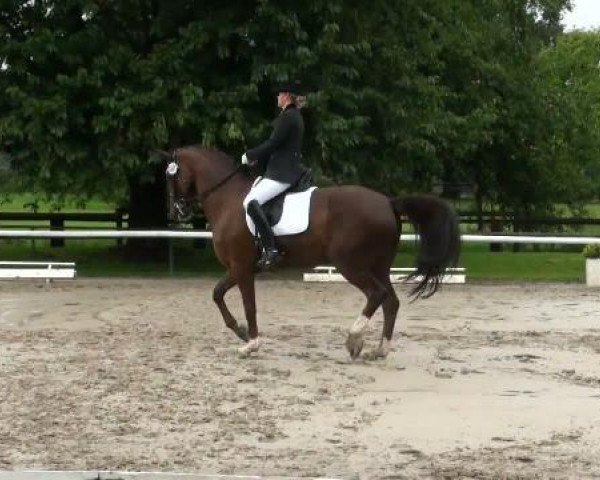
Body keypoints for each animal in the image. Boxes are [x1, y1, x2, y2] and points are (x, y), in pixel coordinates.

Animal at [164, 146, 460, 360]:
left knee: (377, 294)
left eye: (171, 176)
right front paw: (241, 332)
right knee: (391, 301)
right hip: (378, 266)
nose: (177, 212)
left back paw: (354, 339)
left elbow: (249, 305)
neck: (228, 199)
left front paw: (251, 343)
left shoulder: (242, 267)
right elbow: (217, 294)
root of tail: (388, 201)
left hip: (350, 264)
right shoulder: (238, 268)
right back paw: (380, 349)